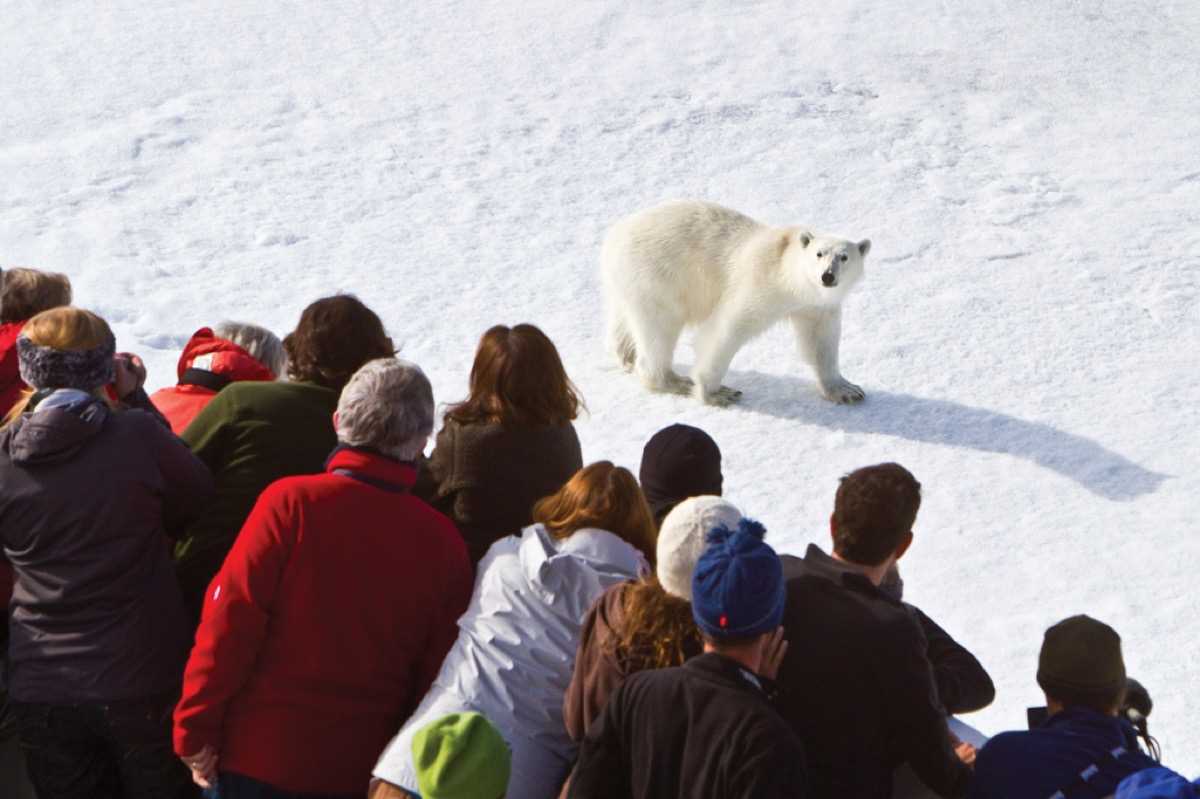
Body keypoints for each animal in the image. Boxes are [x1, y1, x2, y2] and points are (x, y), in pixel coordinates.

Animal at [604, 202, 868, 405]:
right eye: (819, 254)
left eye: (844, 257)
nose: (827, 276)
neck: (789, 278)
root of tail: (614, 236)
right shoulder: (761, 285)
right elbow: (727, 329)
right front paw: (716, 393)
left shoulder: (816, 306)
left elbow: (820, 341)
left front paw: (847, 390)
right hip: (657, 276)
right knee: (659, 329)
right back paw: (673, 380)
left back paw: (627, 354)